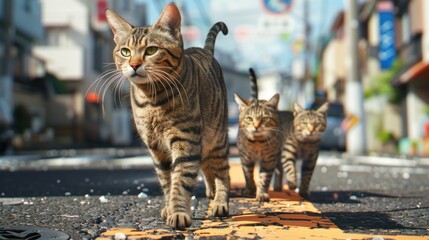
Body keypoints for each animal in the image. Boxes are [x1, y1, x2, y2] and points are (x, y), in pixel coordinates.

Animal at [105, 2, 229, 230]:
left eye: (151, 50)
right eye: (125, 52)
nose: (134, 64)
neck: (151, 100)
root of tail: (204, 50)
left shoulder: (185, 140)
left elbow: (180, 181)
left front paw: (178, 212)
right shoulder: (157, 148)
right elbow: (167, 182)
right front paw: (169, 208)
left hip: (217, 138)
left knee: (223, 172)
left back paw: (220, 202)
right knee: (207, 167)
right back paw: (211, 192)